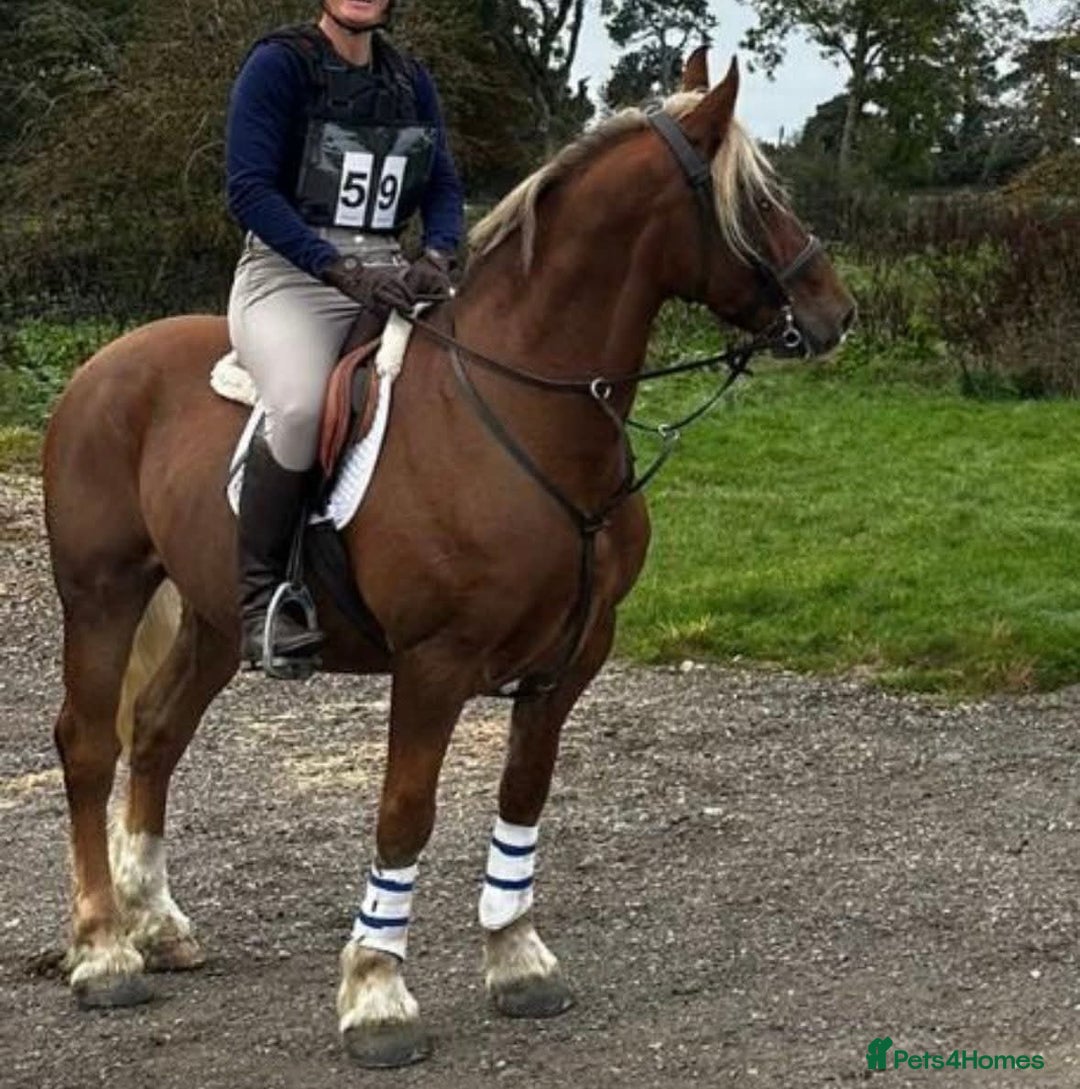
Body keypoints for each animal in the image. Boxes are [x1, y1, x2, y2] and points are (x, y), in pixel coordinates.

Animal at [42, 50, 854, 1067]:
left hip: (217, 617)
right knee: (89, 746)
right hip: (101, 594)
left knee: (155, 733)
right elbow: (405, 812)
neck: (528, 411)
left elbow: (522, 795)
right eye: (756, 197)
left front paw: (517, 958)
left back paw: (158, 923)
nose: (835, 312)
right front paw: (377, 994)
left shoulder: (568, 660)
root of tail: (101, 368)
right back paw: (104, 950)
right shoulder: (433, 664)